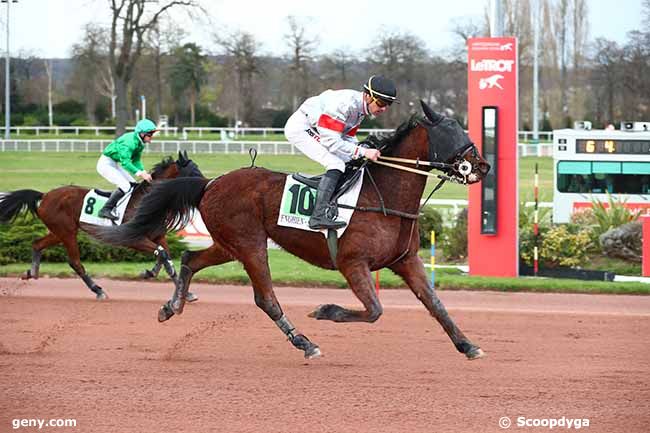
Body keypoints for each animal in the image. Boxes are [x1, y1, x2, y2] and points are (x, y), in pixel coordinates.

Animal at [0, 150, 202, 298]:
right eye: (192, 172)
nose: (204, 187)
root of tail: (45, 195)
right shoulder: (132, 239)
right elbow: (162, 254)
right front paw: (151, 274)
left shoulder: (158, 236)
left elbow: (166, 257)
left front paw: (183, 291)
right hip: (66, 232)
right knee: (75, 262)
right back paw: (98, 290)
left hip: (59, 232)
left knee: (37, 244)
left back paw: (31, 272)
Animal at [96, 101, 488, 358]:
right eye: (450, 131)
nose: (482, 166)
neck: (384, 195)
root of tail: (210, 183)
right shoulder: (352, 263)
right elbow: (375, 310)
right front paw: (326, 310)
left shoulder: (406, 261)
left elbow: (436, 304)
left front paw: (467, 345)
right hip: (250, 244)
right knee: (265, 298)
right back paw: (304, 342)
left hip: (229, 244)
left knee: (191, 260)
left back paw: (171, 307)